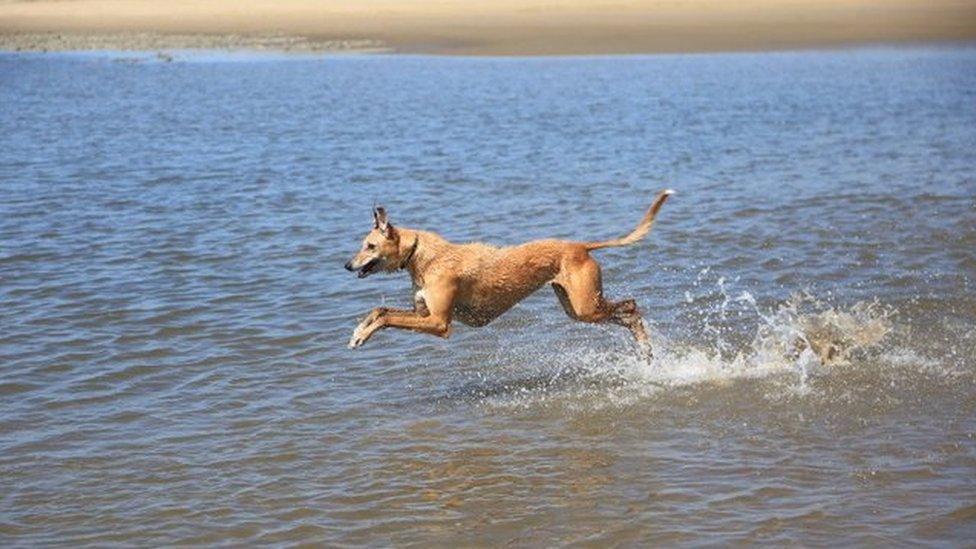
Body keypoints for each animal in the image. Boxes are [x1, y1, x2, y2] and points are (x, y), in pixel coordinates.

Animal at [346, 189, 676, 356]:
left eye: (370, 245)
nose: (347, 266)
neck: (423, 255)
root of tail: (580, 246)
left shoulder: (439, 323)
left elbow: (387, 318)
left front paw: (362, 334)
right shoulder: (422, 313)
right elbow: (379, 310)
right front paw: (358, 332)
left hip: (587, 306)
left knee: (631, 306)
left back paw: (646, 348)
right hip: (577, 309)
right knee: (626, 312)